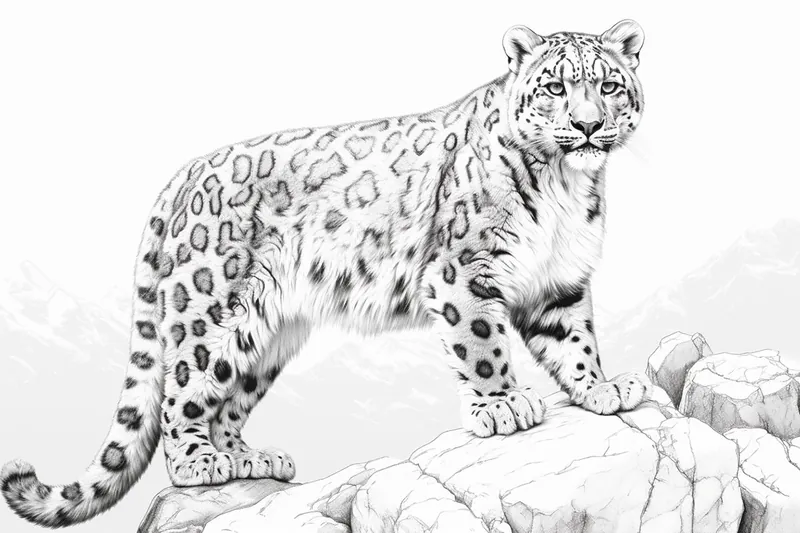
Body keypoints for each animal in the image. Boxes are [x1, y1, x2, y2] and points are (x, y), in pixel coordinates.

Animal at [2, 20, 649, 527]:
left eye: (609, 85)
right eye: (555, 87)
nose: (588, 126)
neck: (566, 186)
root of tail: (187, 172)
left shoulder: (559, 280)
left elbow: (575, 341)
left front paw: (603, 389)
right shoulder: (462, 272)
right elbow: (483, 345)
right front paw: (505, 406)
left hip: (264, 336)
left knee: (227, 398)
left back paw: (249, 459)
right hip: (207, 312)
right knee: (179, 393)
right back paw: (200, 464)